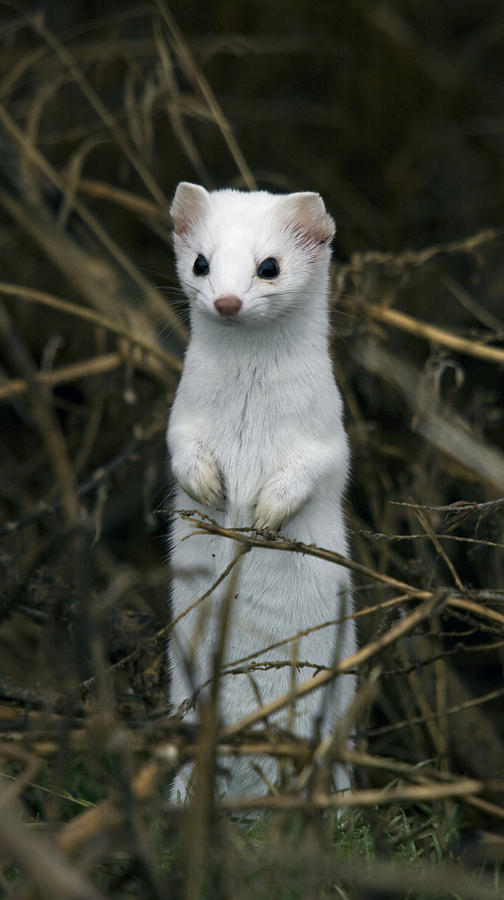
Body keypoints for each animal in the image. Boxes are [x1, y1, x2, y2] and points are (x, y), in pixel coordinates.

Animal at [167, 181, 356, 796]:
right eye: (201, 262)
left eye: (268, 266)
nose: (227, 302)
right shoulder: (182, 416)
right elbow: (179, 447)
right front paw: (208, 486)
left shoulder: (326, 434)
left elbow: (312, 471)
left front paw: (266, 514)